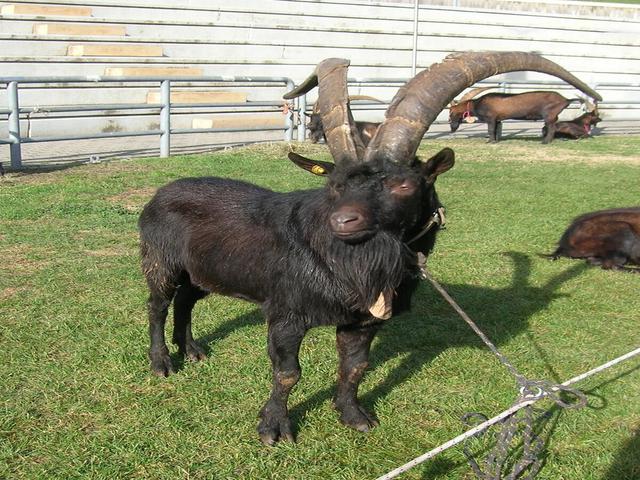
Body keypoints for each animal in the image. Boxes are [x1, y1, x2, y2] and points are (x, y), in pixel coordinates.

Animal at [449, 86, 601, 143]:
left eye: (451, 112)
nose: (452, 127)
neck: (478, 103)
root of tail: (565, 100)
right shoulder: (497, 119)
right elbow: (497, 129)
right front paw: (495, 140)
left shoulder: (491, 118)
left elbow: (490, 130)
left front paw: (490, 141)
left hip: (549, 115)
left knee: (551, 128)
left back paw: (545, 142)